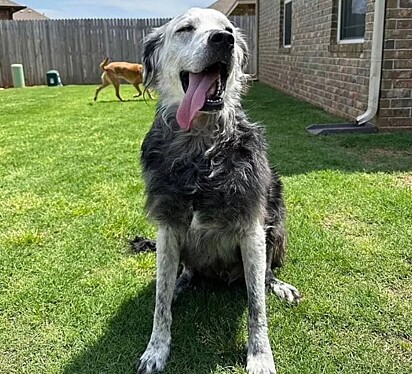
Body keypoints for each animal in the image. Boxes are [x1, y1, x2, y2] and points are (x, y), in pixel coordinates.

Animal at [137, 6, 300, 374]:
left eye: (228, 28)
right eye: (185, 29)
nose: (223, 40)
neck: (202, 150)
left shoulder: (252, 229)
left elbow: (256, 306)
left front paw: (260, 356)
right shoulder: (168, 226)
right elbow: (159, 302)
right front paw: (156, 349)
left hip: (276, 227)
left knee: (265, 275)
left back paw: (278, 285)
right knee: (183, 272)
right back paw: (182, 282)